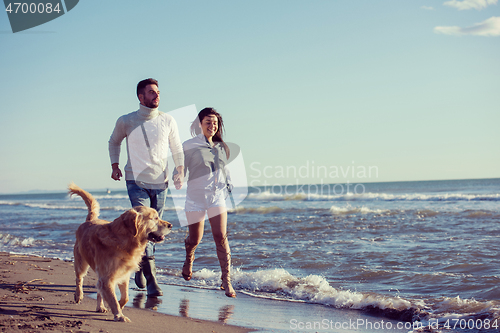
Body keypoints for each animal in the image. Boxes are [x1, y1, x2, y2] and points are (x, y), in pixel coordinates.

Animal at [69, 183, 172, 320]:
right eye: (155, 218)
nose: (171, 225)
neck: (124, 242)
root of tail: (89, 220)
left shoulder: (123, 274)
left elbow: (125, 298)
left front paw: (119, 307)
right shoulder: (107, 278)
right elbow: (112, 298)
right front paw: (119, 315)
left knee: (98, 289)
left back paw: (100, 307)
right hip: (81, 262)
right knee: (79, 279)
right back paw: (78, 295)